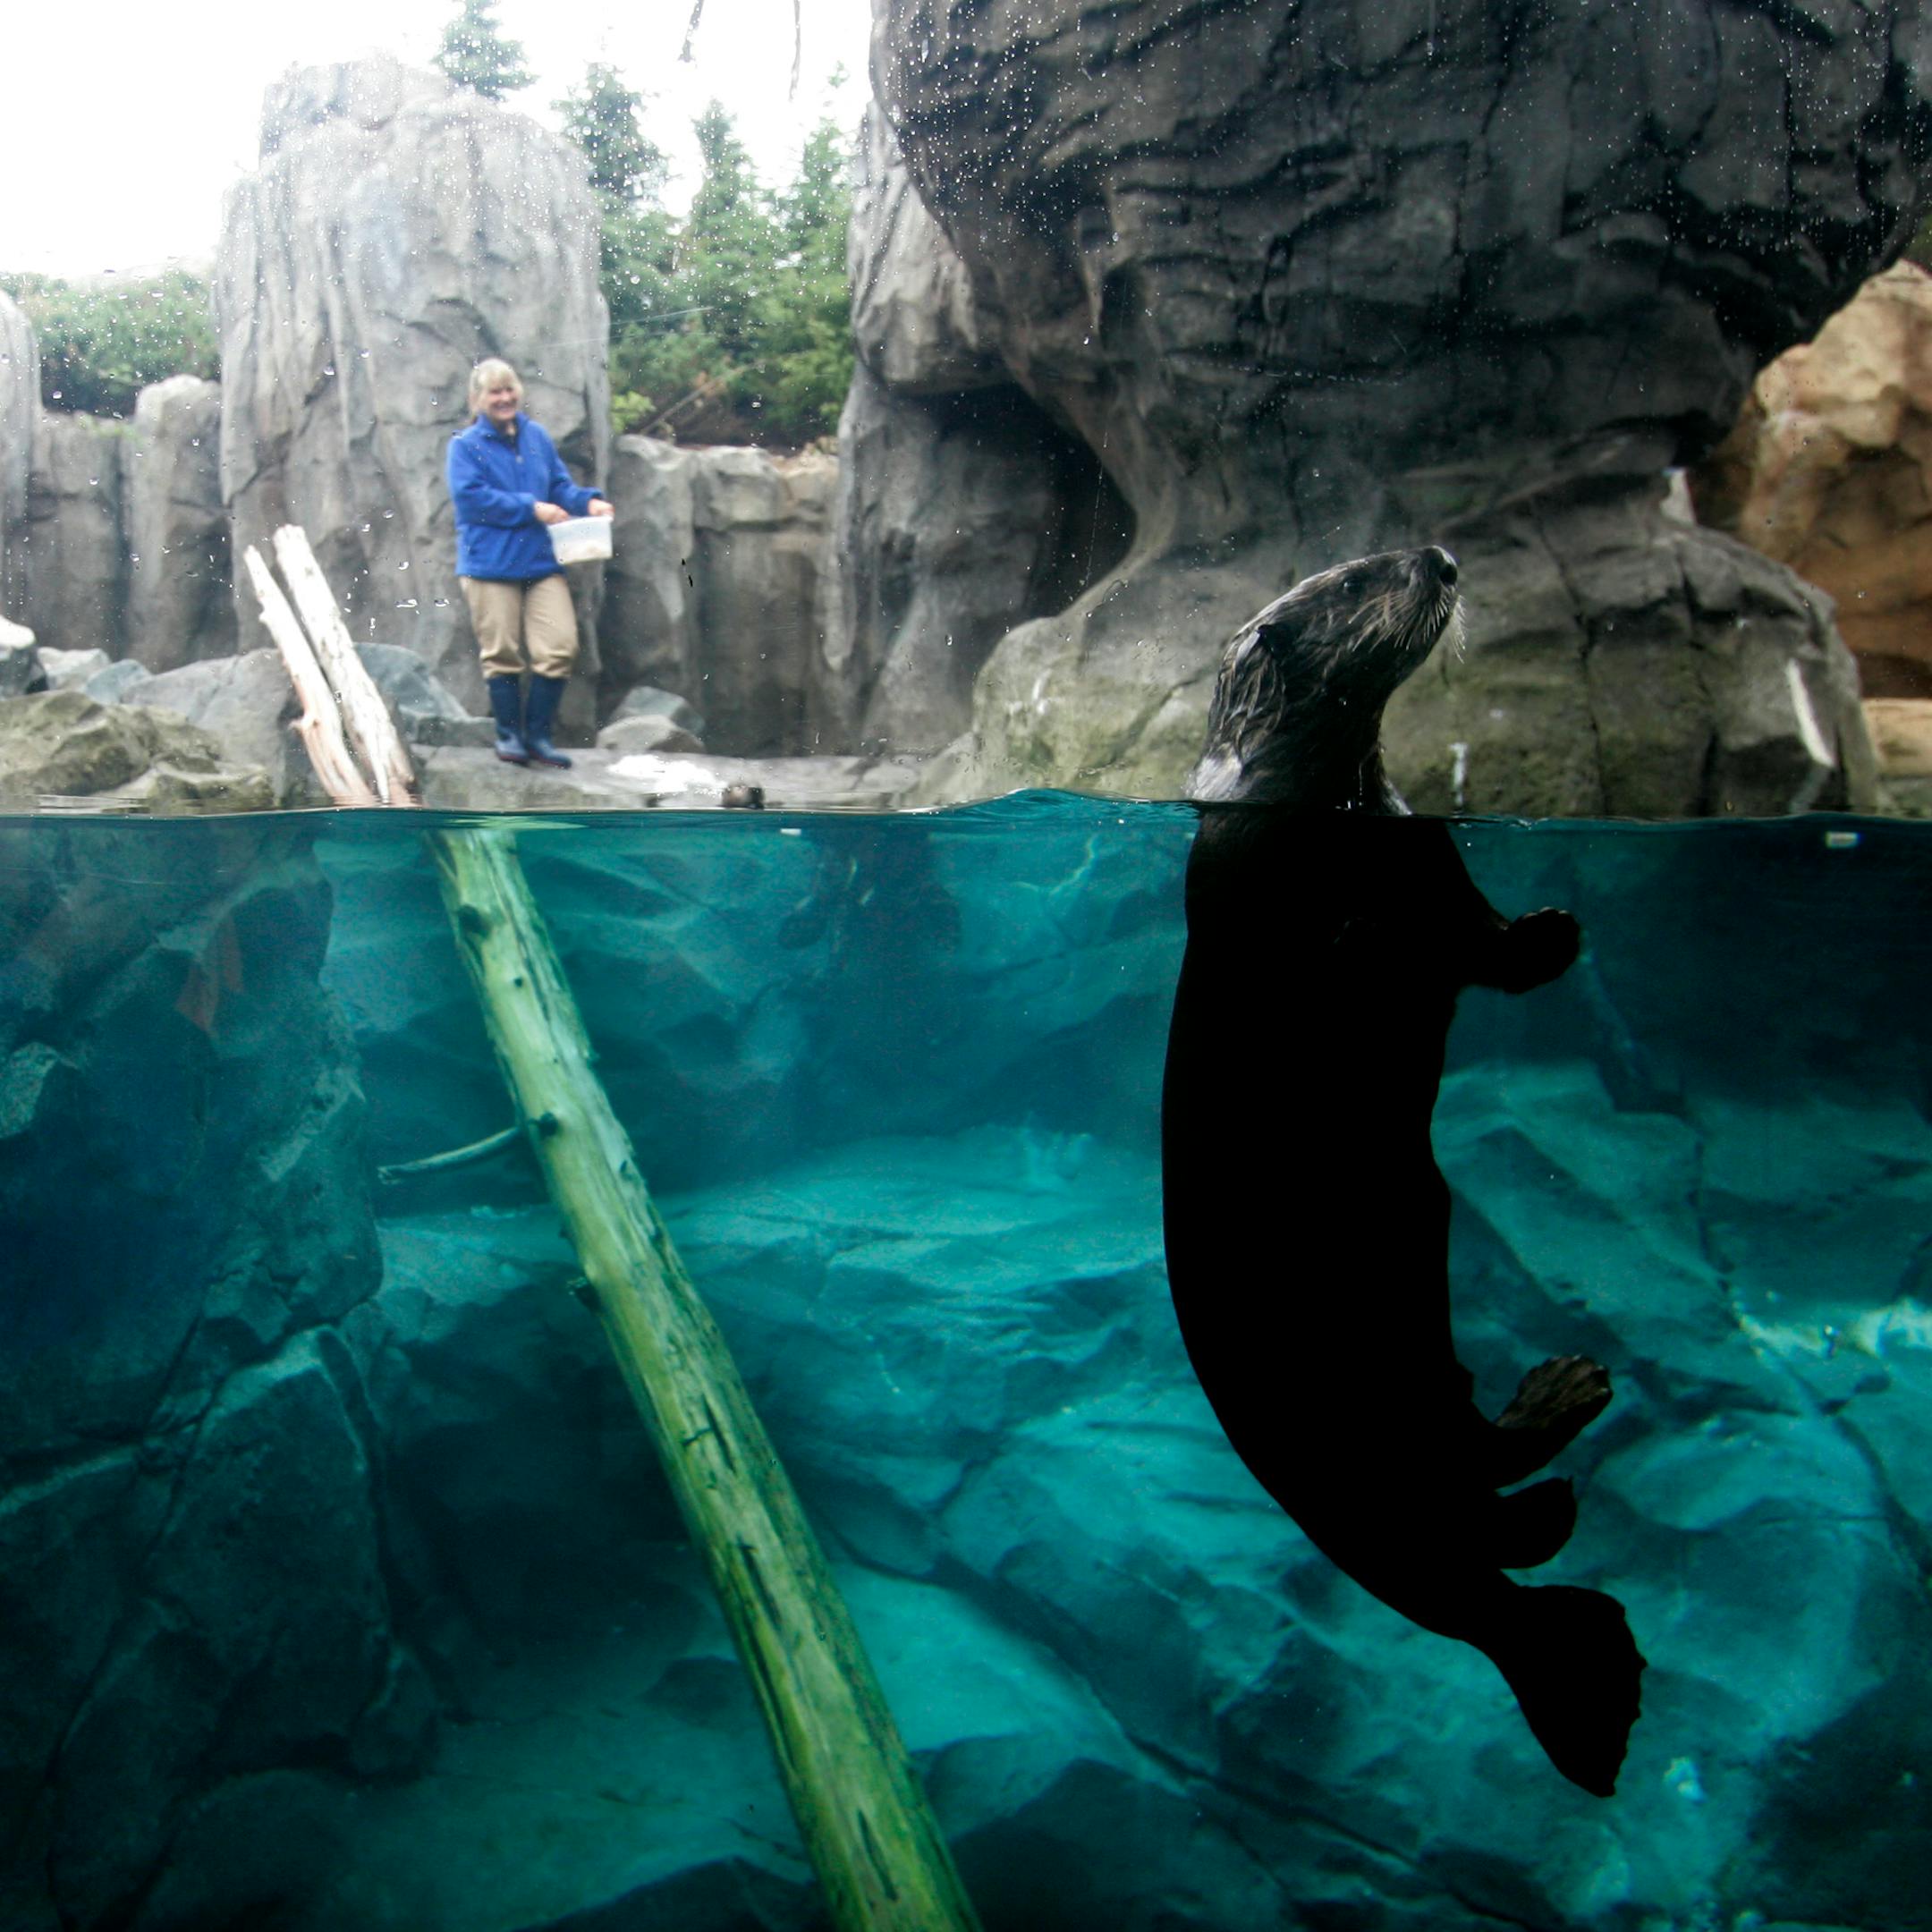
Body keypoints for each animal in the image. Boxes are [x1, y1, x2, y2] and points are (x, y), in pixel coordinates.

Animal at [1162, 544, 1645, 1796]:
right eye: (1354, 579)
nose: (1438, 558)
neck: (1335, 815)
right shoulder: (1278, 890)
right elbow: (1364, 960)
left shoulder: (1431, 856)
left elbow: (1489, 948)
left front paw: (1553, 930)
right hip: (1380, 1403)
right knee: (1485, 1506)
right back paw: (1571, 1406)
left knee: (1500, 1526)